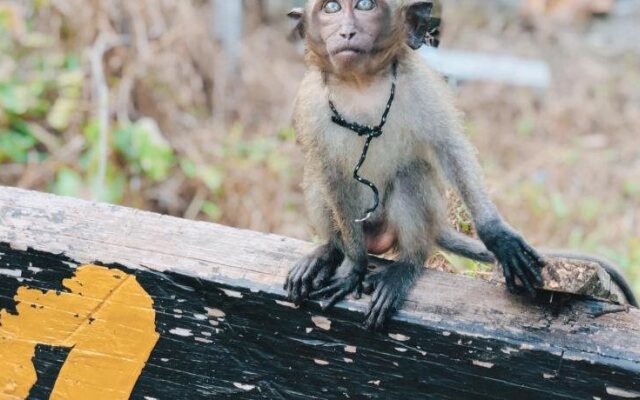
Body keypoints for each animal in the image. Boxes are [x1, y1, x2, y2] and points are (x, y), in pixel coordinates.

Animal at [282, 0, 636, 331]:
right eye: (331, 8)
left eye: (365, 6)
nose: (346, 33)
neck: (360, 83)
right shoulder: (310, 103)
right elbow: (331, 175)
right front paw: (353, 266)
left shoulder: (422, 87)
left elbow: (451, 149)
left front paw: (496, 234)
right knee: (318, 179)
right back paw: (330, 250)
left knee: (410, 175)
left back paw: (407, 264)